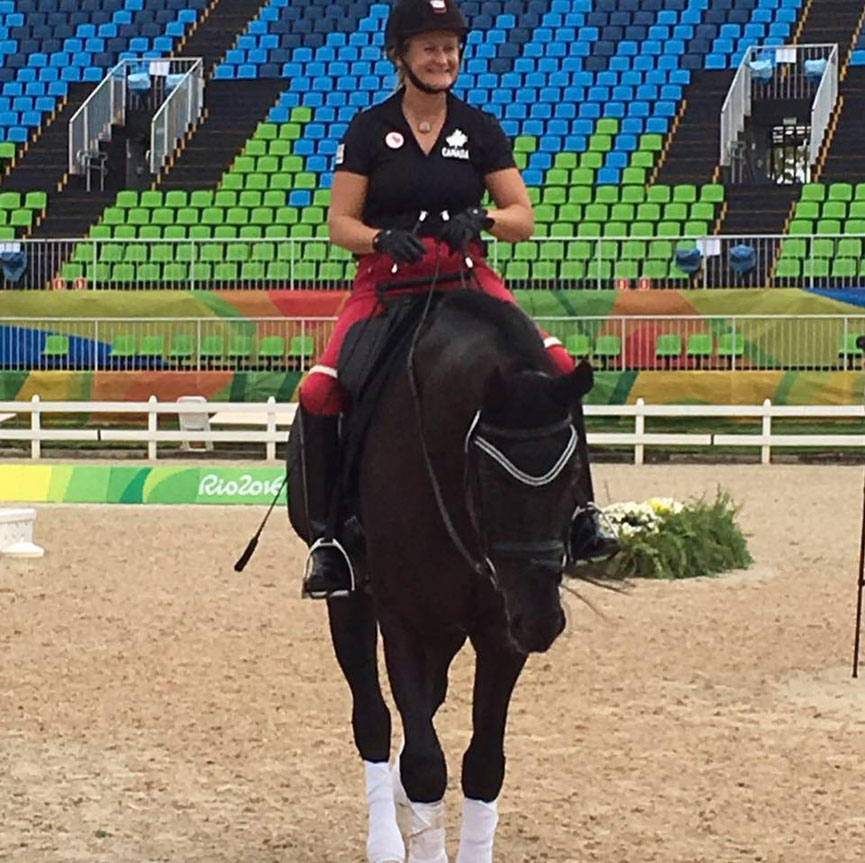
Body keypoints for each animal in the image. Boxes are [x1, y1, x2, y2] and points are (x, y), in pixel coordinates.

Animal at [286, 292, 592, 863]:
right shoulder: (402, 617)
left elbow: (484, 765)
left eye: (573, 471)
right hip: (352, 601)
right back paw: (385, 837)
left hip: (451, 624)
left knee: (428, 702)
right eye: (489, 477)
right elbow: (425, 764)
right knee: (375, 720)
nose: (541, 621)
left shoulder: (497, 628)